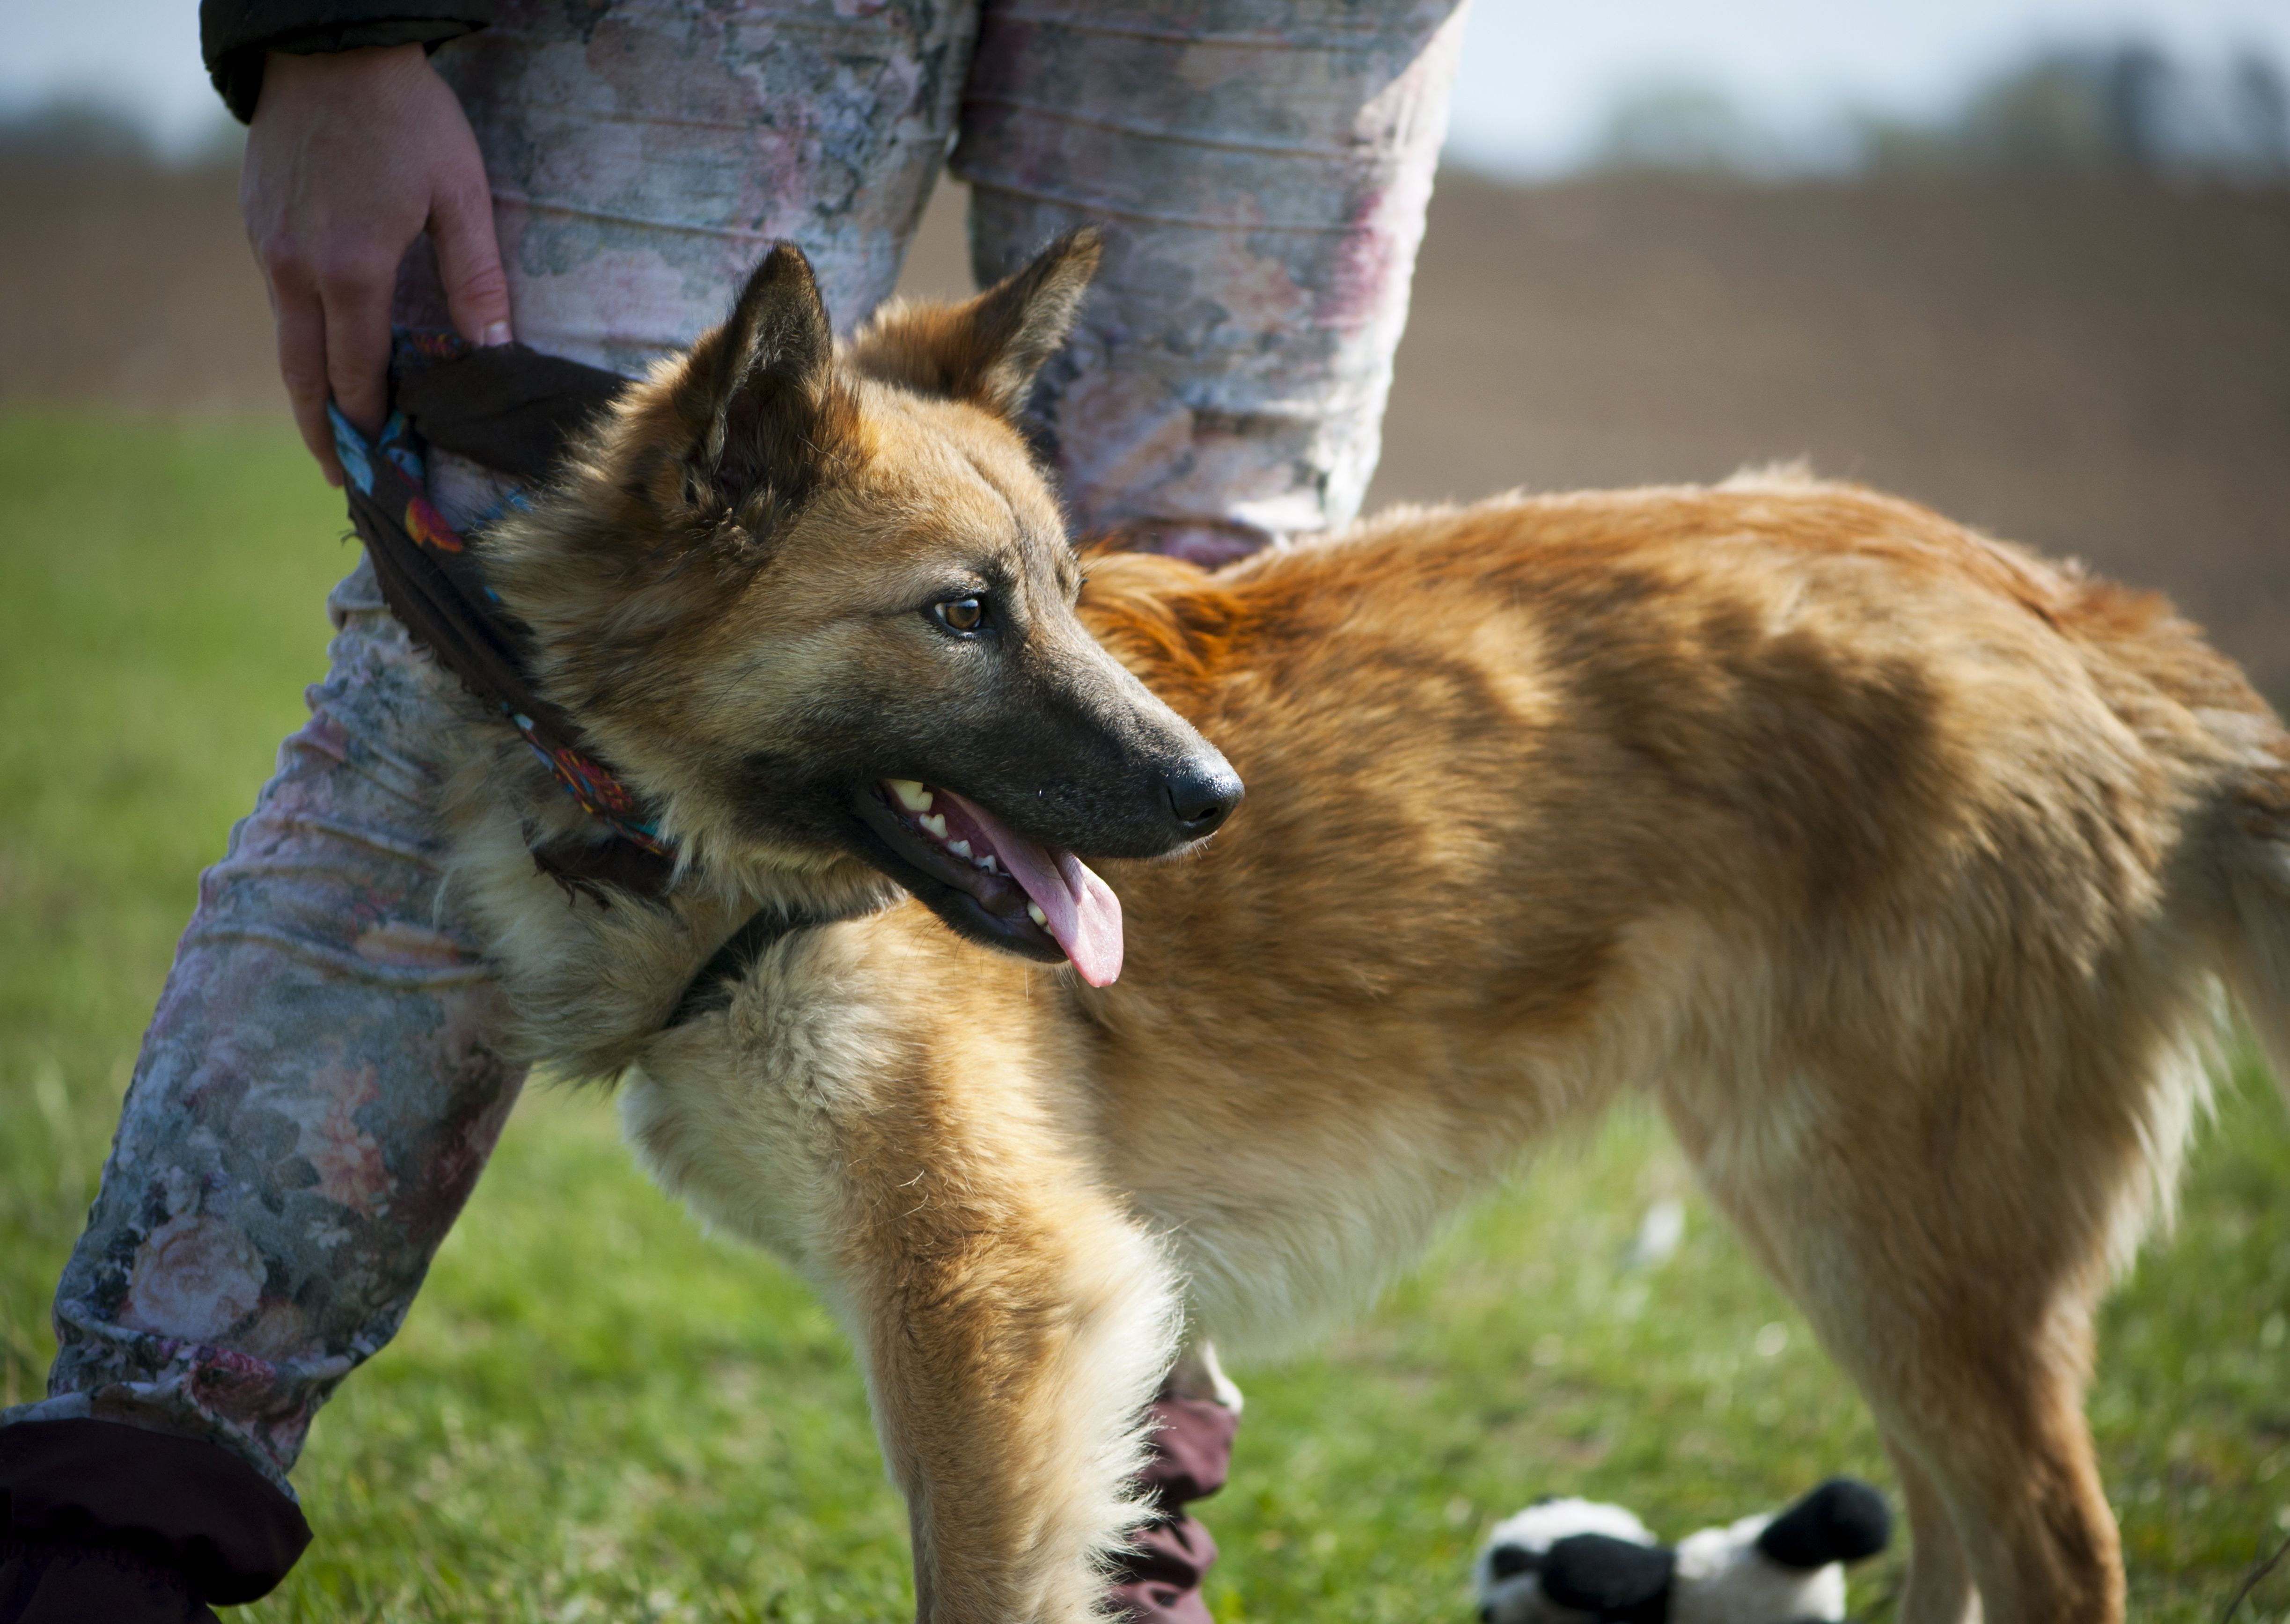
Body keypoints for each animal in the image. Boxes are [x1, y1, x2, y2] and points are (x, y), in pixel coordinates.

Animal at [433, 231, 2290, 1622]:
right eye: (961, 612)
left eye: (1059, 591)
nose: (1213, 798)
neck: (712, 861)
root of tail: (2068, 613)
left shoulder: (995, 1306)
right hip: (1865, 1243)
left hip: (1905, 1239)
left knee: (2052, 1549)